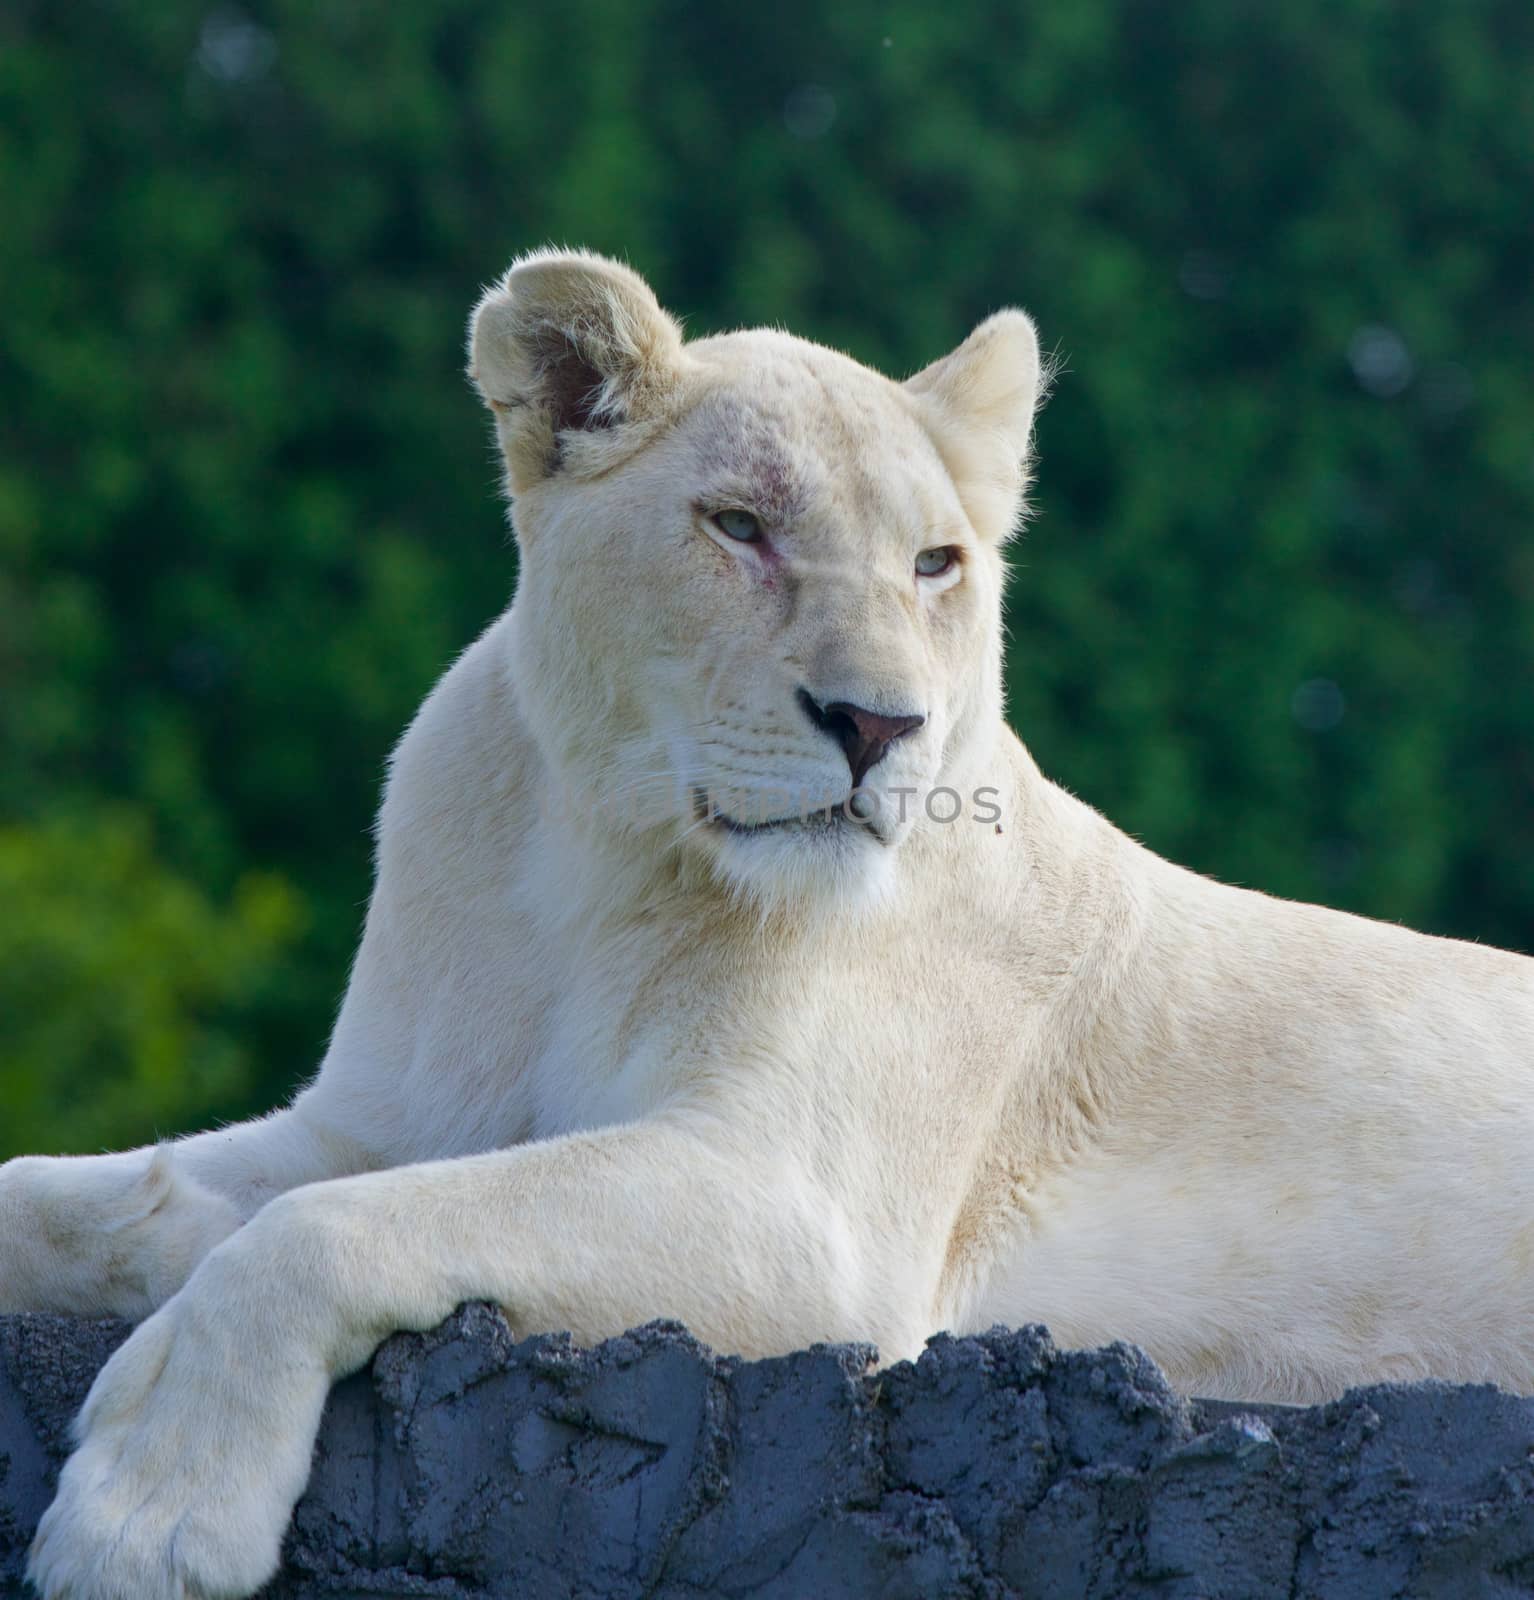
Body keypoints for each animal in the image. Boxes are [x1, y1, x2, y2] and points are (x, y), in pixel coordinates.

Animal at [11, 249, 1534, 1600]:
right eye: (737, 525)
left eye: (935, 563)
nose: (875, 725)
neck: (595, 866)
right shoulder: (380, 1115)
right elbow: (103, 1191)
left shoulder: (803, 1211)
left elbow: (321, 1230)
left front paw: (150, 1517)